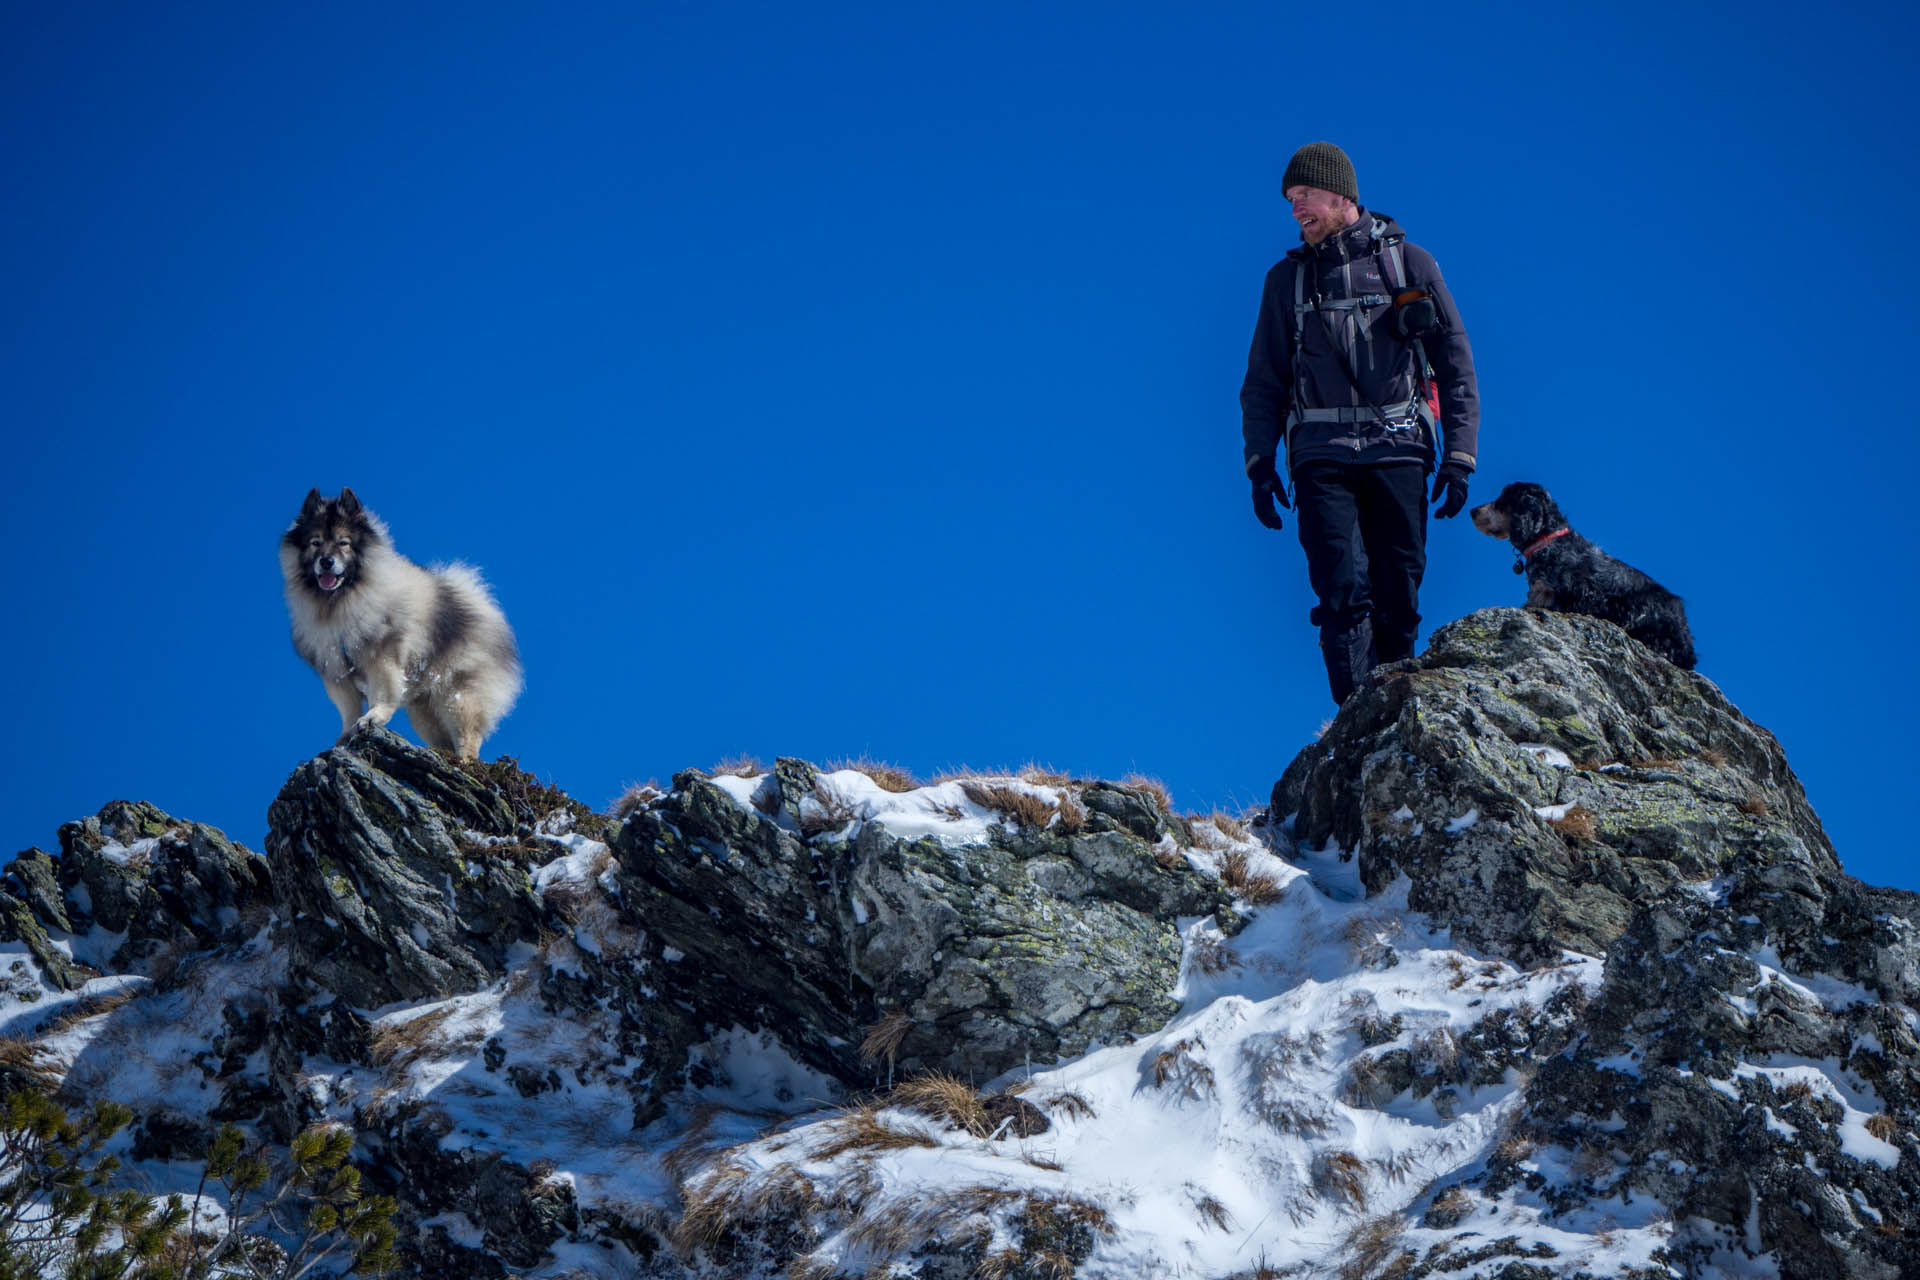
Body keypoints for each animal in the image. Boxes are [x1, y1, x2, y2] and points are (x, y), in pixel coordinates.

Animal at [280, 485, 522, 756]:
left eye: (344, 543)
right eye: (316, 543)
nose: (326, 561)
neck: (341, 601)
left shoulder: (381, 657)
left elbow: (382, 694)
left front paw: (372, 718)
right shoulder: (336, 671)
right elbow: (348, 709)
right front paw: (345, 734)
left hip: (458, 697)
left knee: (467, 737)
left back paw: (464, 761)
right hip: (423, 710)